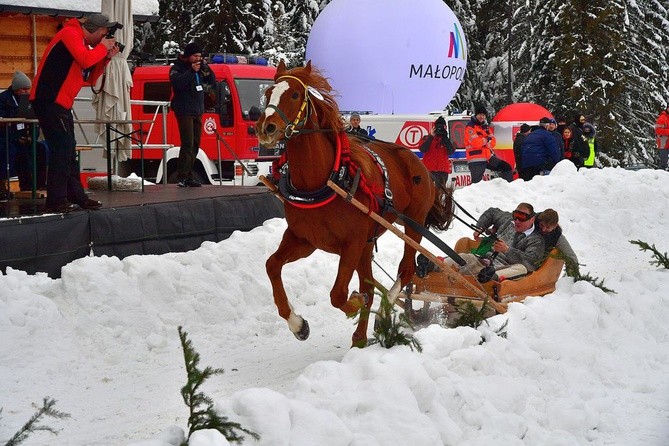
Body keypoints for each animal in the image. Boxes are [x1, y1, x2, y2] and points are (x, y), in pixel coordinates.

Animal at [256, 61, 454, 346]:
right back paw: (360, 337)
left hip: (412, 224)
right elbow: (272, 266)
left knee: (405, 270)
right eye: (268, 92)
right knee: (370, 282)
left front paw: (354, 303)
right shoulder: (303, 239)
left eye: (294, 94)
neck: (322, 182)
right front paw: (297, 324)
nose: (266, 128)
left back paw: (383, 309)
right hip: (368, 242)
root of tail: (418, 163)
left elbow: (339, 294)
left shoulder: (352, 243)